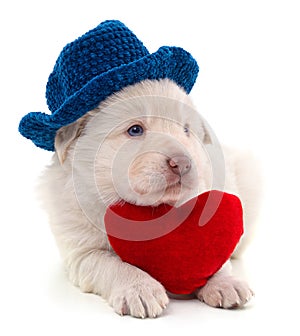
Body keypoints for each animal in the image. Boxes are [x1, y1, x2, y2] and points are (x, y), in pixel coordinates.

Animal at [38, 78, 260, 318]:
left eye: (186, 130)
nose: (183, 163)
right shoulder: (82, 251)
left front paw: (225, 282)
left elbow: (217, 255)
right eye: (135, 130)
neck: (150, 210)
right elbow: (111, 264)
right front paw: (140, 289)